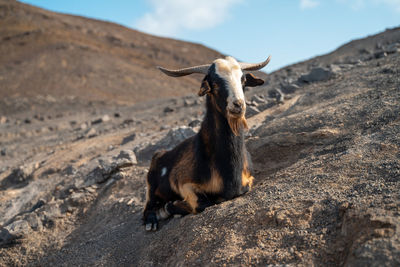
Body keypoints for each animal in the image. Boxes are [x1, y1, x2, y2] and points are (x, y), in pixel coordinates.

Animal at [142, 55, 270, 231]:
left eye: (243, 80)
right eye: (214, 83)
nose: (238, 105)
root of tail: (159, 154)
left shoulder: (249, 179)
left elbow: (244, 188)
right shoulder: (182, 182)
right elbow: (202, 203)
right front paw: (171, 206)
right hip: (152, 187)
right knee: (148, 206)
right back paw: (152, 220)